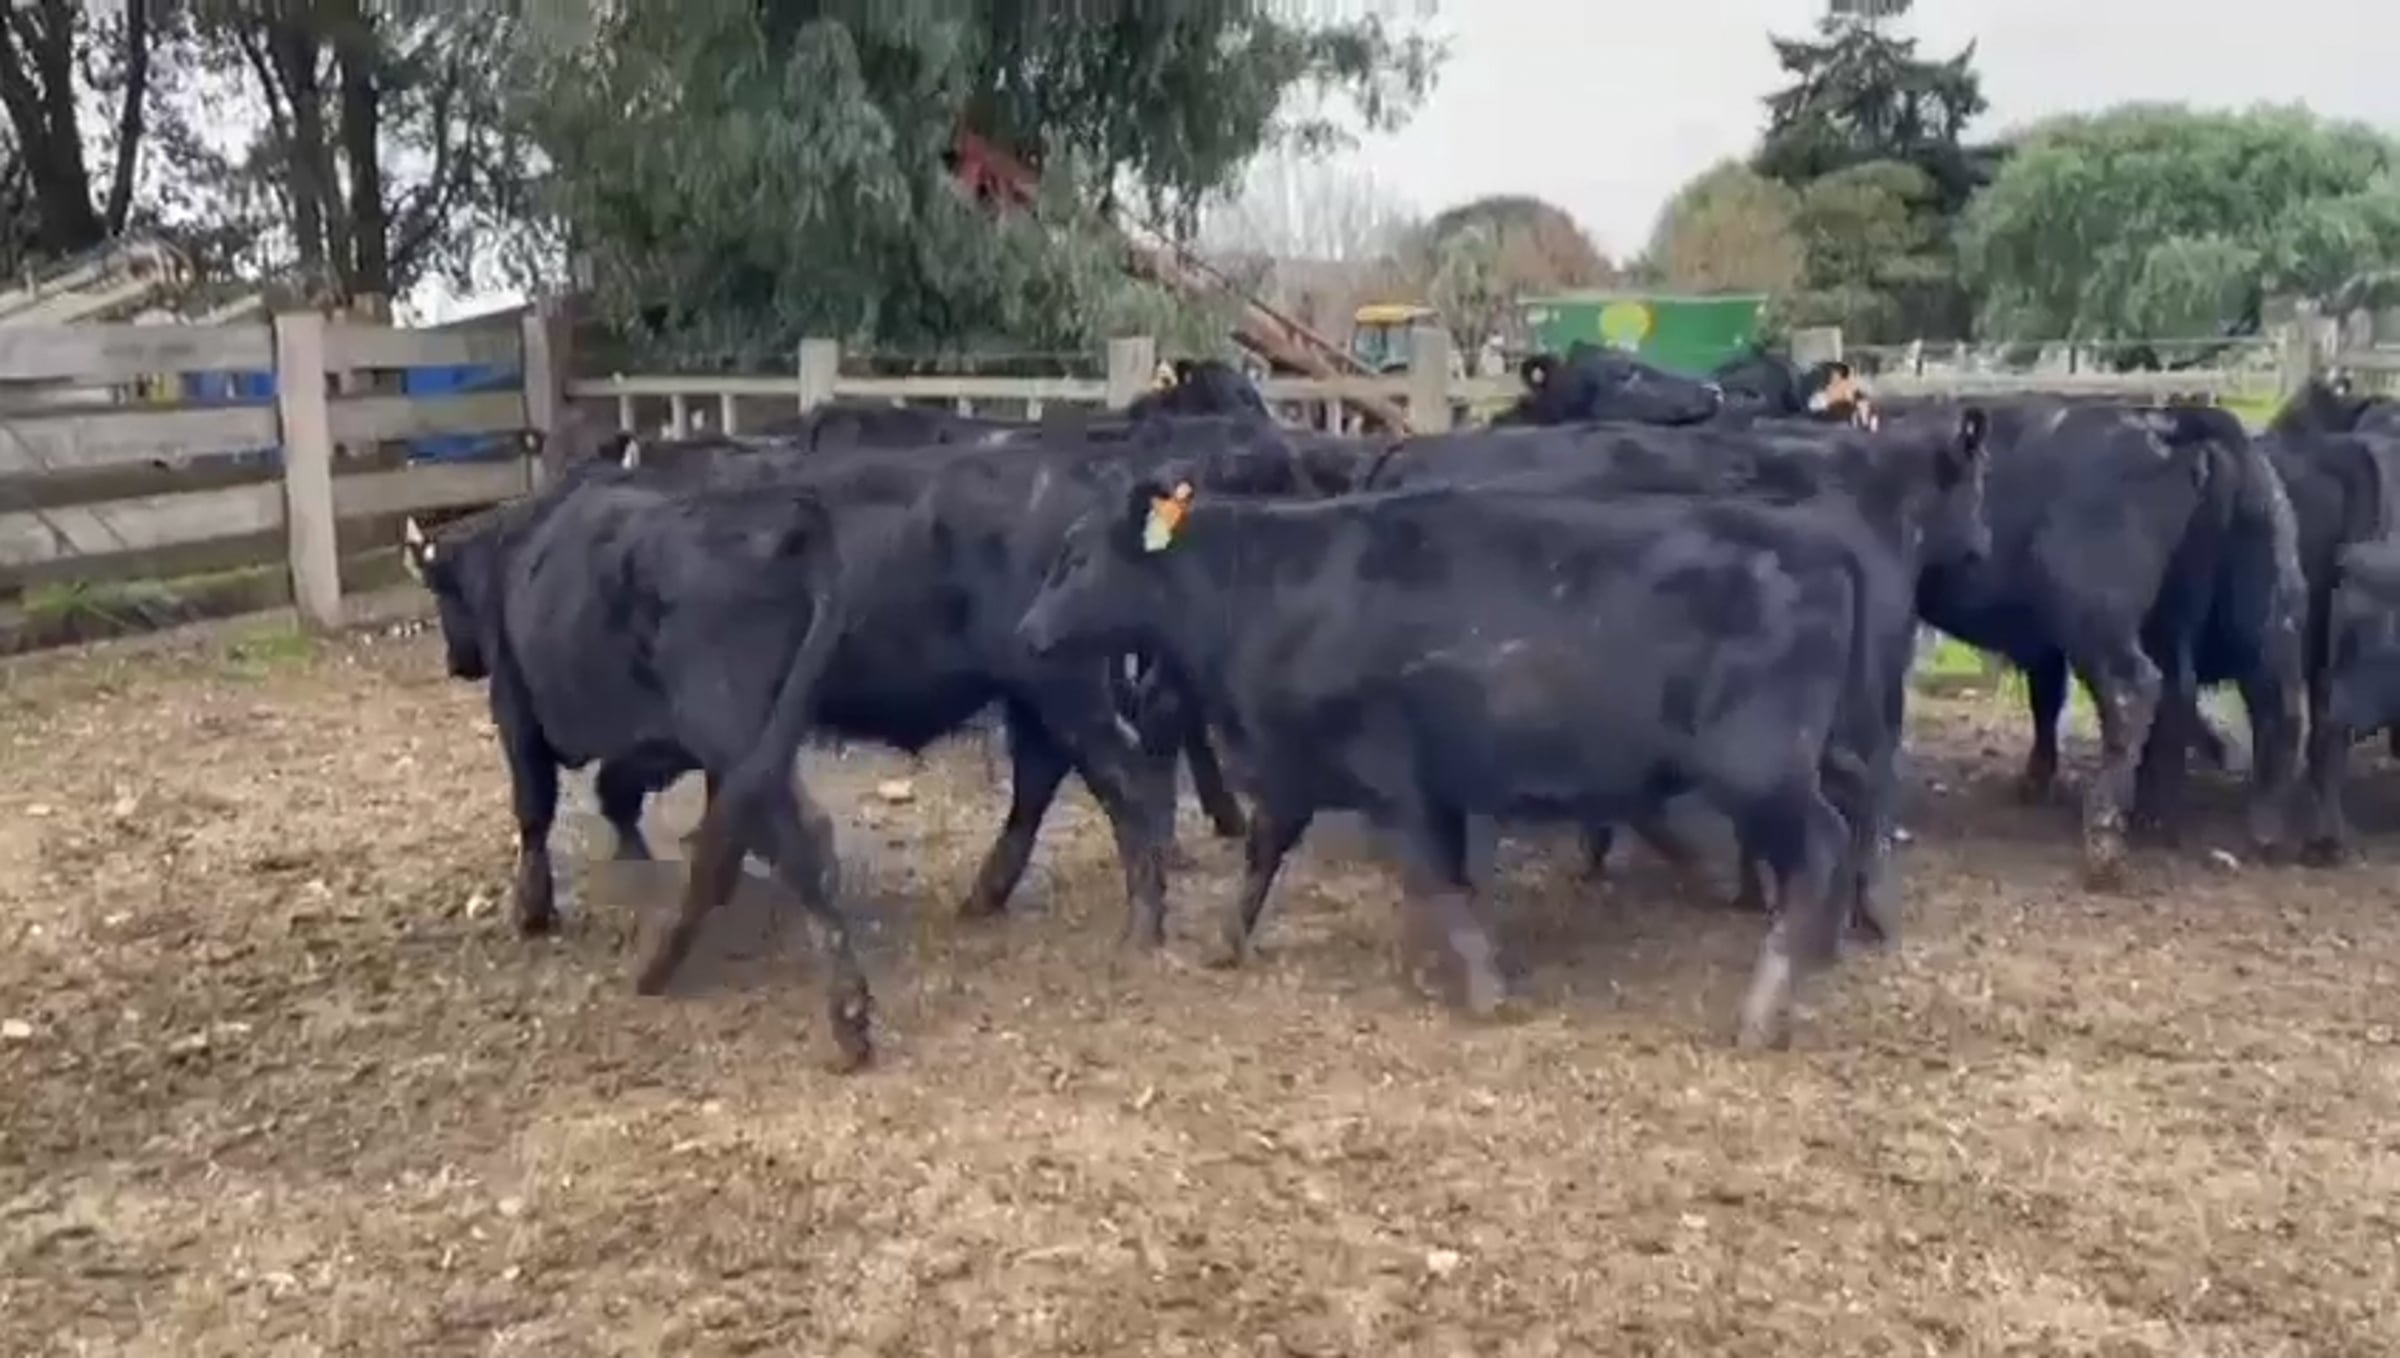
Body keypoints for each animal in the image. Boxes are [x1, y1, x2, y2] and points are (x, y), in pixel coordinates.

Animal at [397, 472, 873, 1071]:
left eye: (442, 597)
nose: (455, 662)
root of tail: (786, 529)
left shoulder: (515, 708)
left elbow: (535, 809)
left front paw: (534, 909)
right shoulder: (658, 746)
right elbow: (623, 796)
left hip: (733, 728)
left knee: (791, 837)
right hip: (756, 739)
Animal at [1015, 476, 1891, 1050]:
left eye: (1077, 559)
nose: (1027, 631)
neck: (1270, 584)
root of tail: (1817, 539)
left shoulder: (1397, 778)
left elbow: (1438, 882)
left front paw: (1487, 992)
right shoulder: (1299, 767)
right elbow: (1264, 853)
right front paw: (1226, 944)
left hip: (1762, 771)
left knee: (1822, 845)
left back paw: (1763, 1008)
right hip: (1817, 754)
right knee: (1859, 807)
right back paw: (1841, 936)